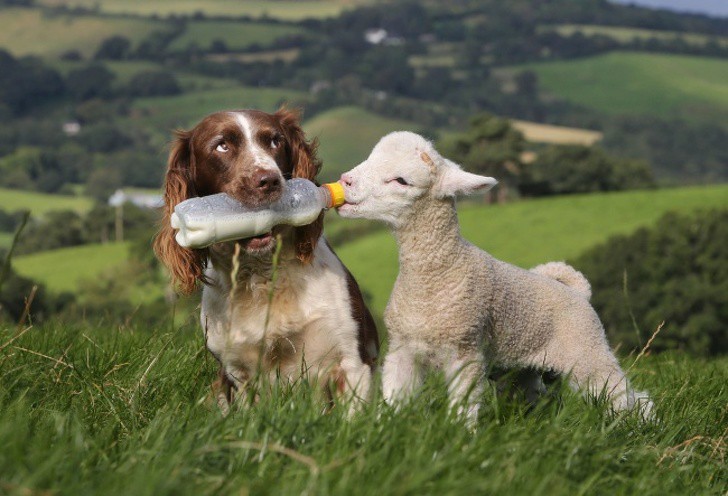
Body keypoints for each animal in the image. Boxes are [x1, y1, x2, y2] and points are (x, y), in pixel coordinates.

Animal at [155, 109, 382, 414]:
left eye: (275, 141)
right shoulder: (237, 373)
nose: (269, 180)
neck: (263, 277)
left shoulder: (352, 361)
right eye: (222, 146)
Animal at [338, 131, 652, 422]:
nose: (345, 181)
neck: (437, 275)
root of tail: (578, 291)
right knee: (537, 395)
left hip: (586, 350)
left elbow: (462, 407)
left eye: (401, 181)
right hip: (521, 368)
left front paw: (460, 435)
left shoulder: (466, 351)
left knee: (624, 395)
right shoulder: (402, 349)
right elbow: (395, 399)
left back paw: (638, 425)